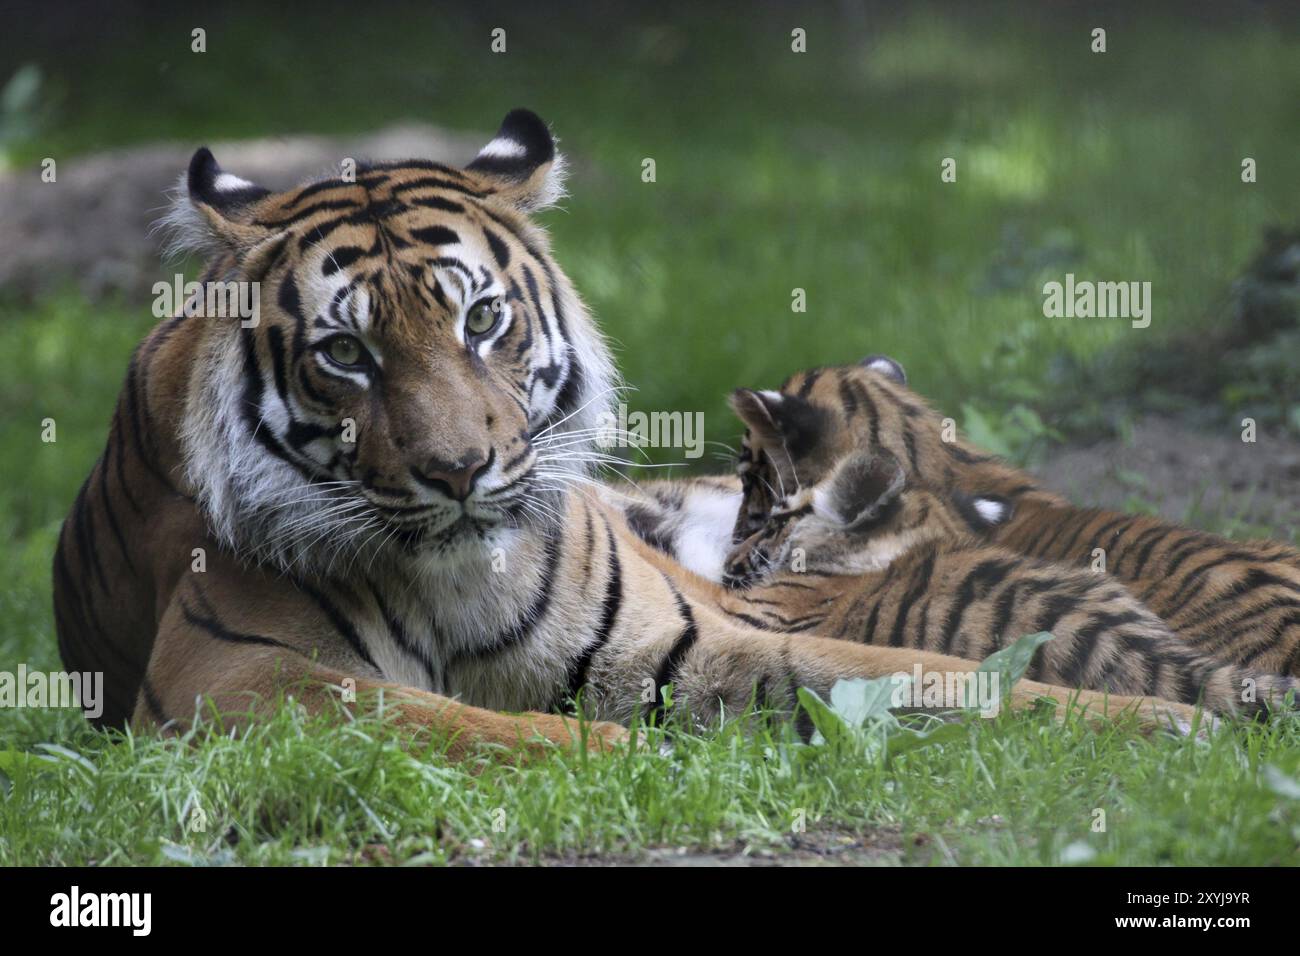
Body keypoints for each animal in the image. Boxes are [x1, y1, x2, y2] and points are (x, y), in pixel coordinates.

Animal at [58, 111, 1196, 754]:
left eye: (481, 319)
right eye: (346, 354)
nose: (458, 471)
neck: (457, 579)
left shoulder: (698, 633)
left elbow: (934, 675)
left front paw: (1179, 720)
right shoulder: (230, 679)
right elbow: (442, 718)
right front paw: (621, 758)